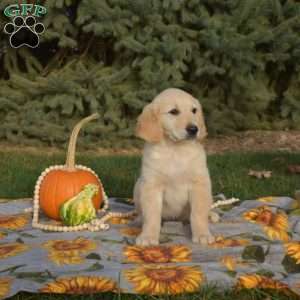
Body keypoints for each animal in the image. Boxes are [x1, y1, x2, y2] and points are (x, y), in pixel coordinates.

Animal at [132, 87, 214, 246]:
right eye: (174, 111)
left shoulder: (199, 184)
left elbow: (198, 213)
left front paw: (202, 234)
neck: (175, 150)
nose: (194, 129)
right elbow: (152, 216)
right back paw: (139, 220)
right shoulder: (151, 185)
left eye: (194, 110)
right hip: (138, 186)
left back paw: (212, 215)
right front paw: (148, 236)